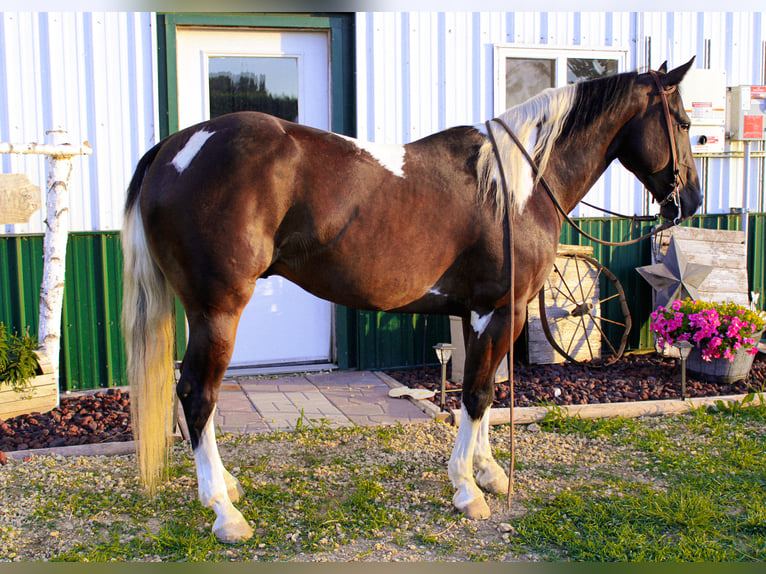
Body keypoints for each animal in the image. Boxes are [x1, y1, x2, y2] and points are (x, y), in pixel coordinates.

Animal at [120, 58, 704, 544]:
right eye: (680, 120)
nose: (692, 201)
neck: (517, 186)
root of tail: (174, 147)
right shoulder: (501, 310)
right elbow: (477, 396)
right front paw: (467, 490)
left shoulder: (477, 314)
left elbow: (481, 391)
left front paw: (488, 471)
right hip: (217, 310)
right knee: (197, 395)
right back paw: (224, 511)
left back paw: (228, 486)